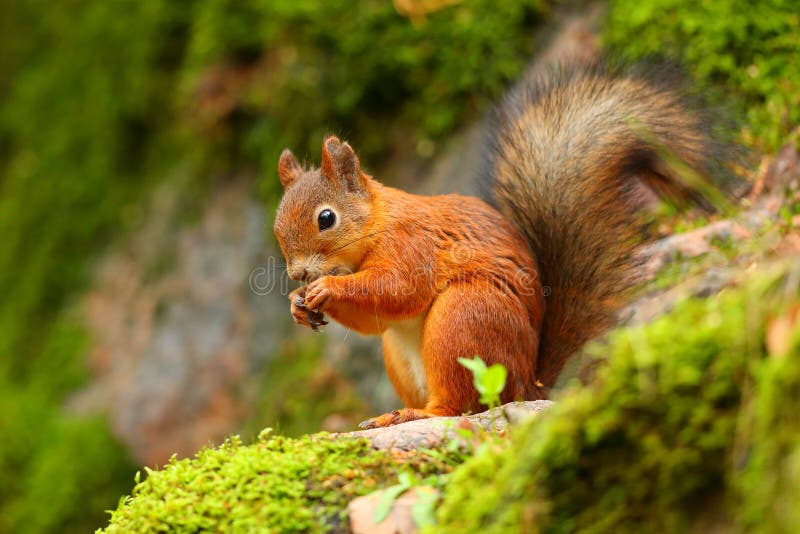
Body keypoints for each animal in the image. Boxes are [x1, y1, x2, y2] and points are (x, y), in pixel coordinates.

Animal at [273, 63, 726, 429]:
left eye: (326, 219)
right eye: (277, 227)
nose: (298, 273)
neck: (378, 224)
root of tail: (530, 385)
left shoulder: (413, 246)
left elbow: (398, 288)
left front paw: (326, 289)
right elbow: (376, 320)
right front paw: (298, 303)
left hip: (464, 318)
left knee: (458, 407)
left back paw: (411, 415)